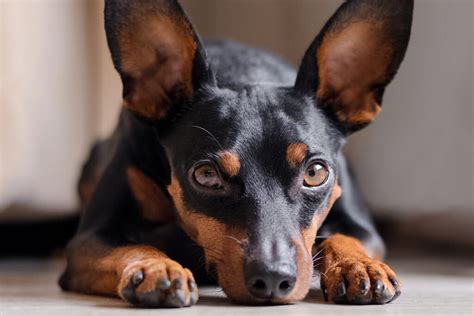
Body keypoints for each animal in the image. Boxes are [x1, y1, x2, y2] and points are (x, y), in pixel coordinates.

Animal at [59, 0, 412, 308]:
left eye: (315, 173)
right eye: (206, 175)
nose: (273, 278)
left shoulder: (362, 227)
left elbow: (343, 238)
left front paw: (359, 266)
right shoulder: (91, 239)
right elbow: (133, 246)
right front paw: (158, 268)